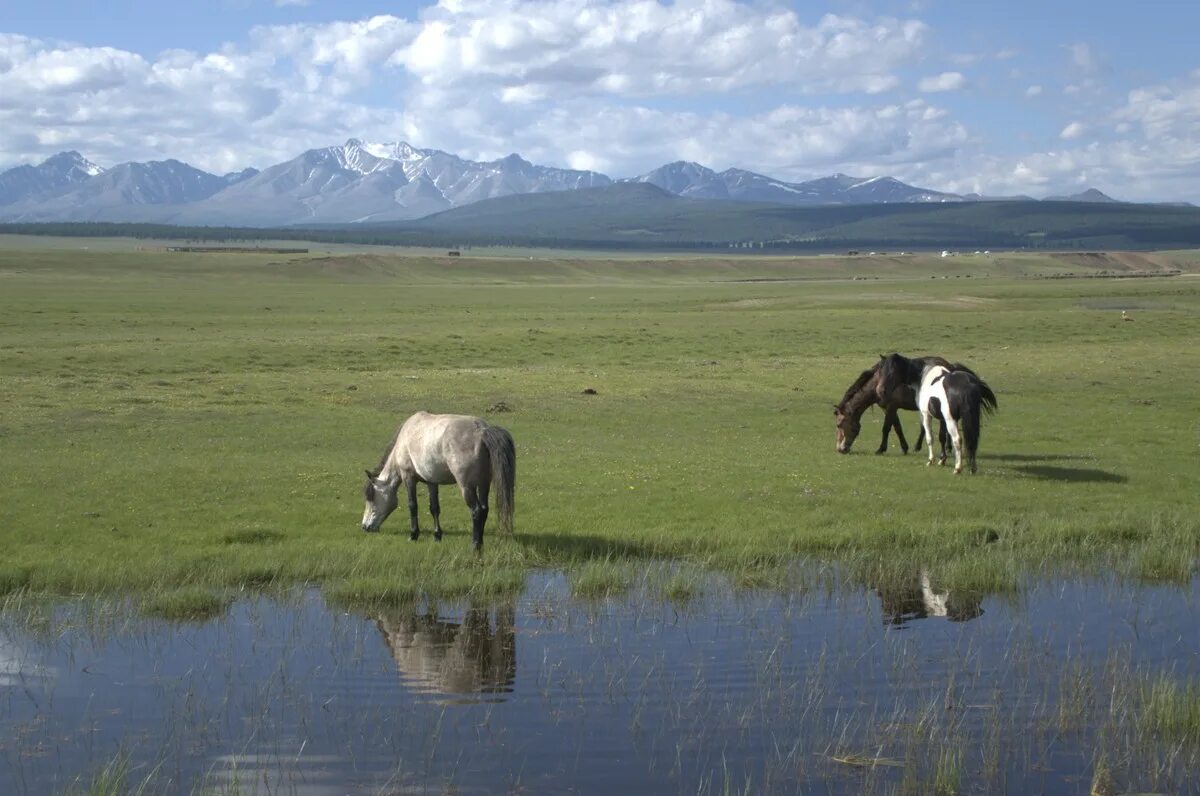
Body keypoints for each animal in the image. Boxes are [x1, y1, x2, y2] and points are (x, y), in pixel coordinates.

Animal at [364, 413, 516, 552]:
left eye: (371, 498)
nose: (365, 526)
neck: (405, 439)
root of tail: (482, 430)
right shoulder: (432, 482)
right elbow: (434, 508)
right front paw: (437, 535)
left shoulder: (409, 478)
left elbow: (412, 506)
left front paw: (413, 535)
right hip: (484, 484)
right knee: (484, 509)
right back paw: (481, 542)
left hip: (467, 487)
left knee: (476, 510)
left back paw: (475, 545)